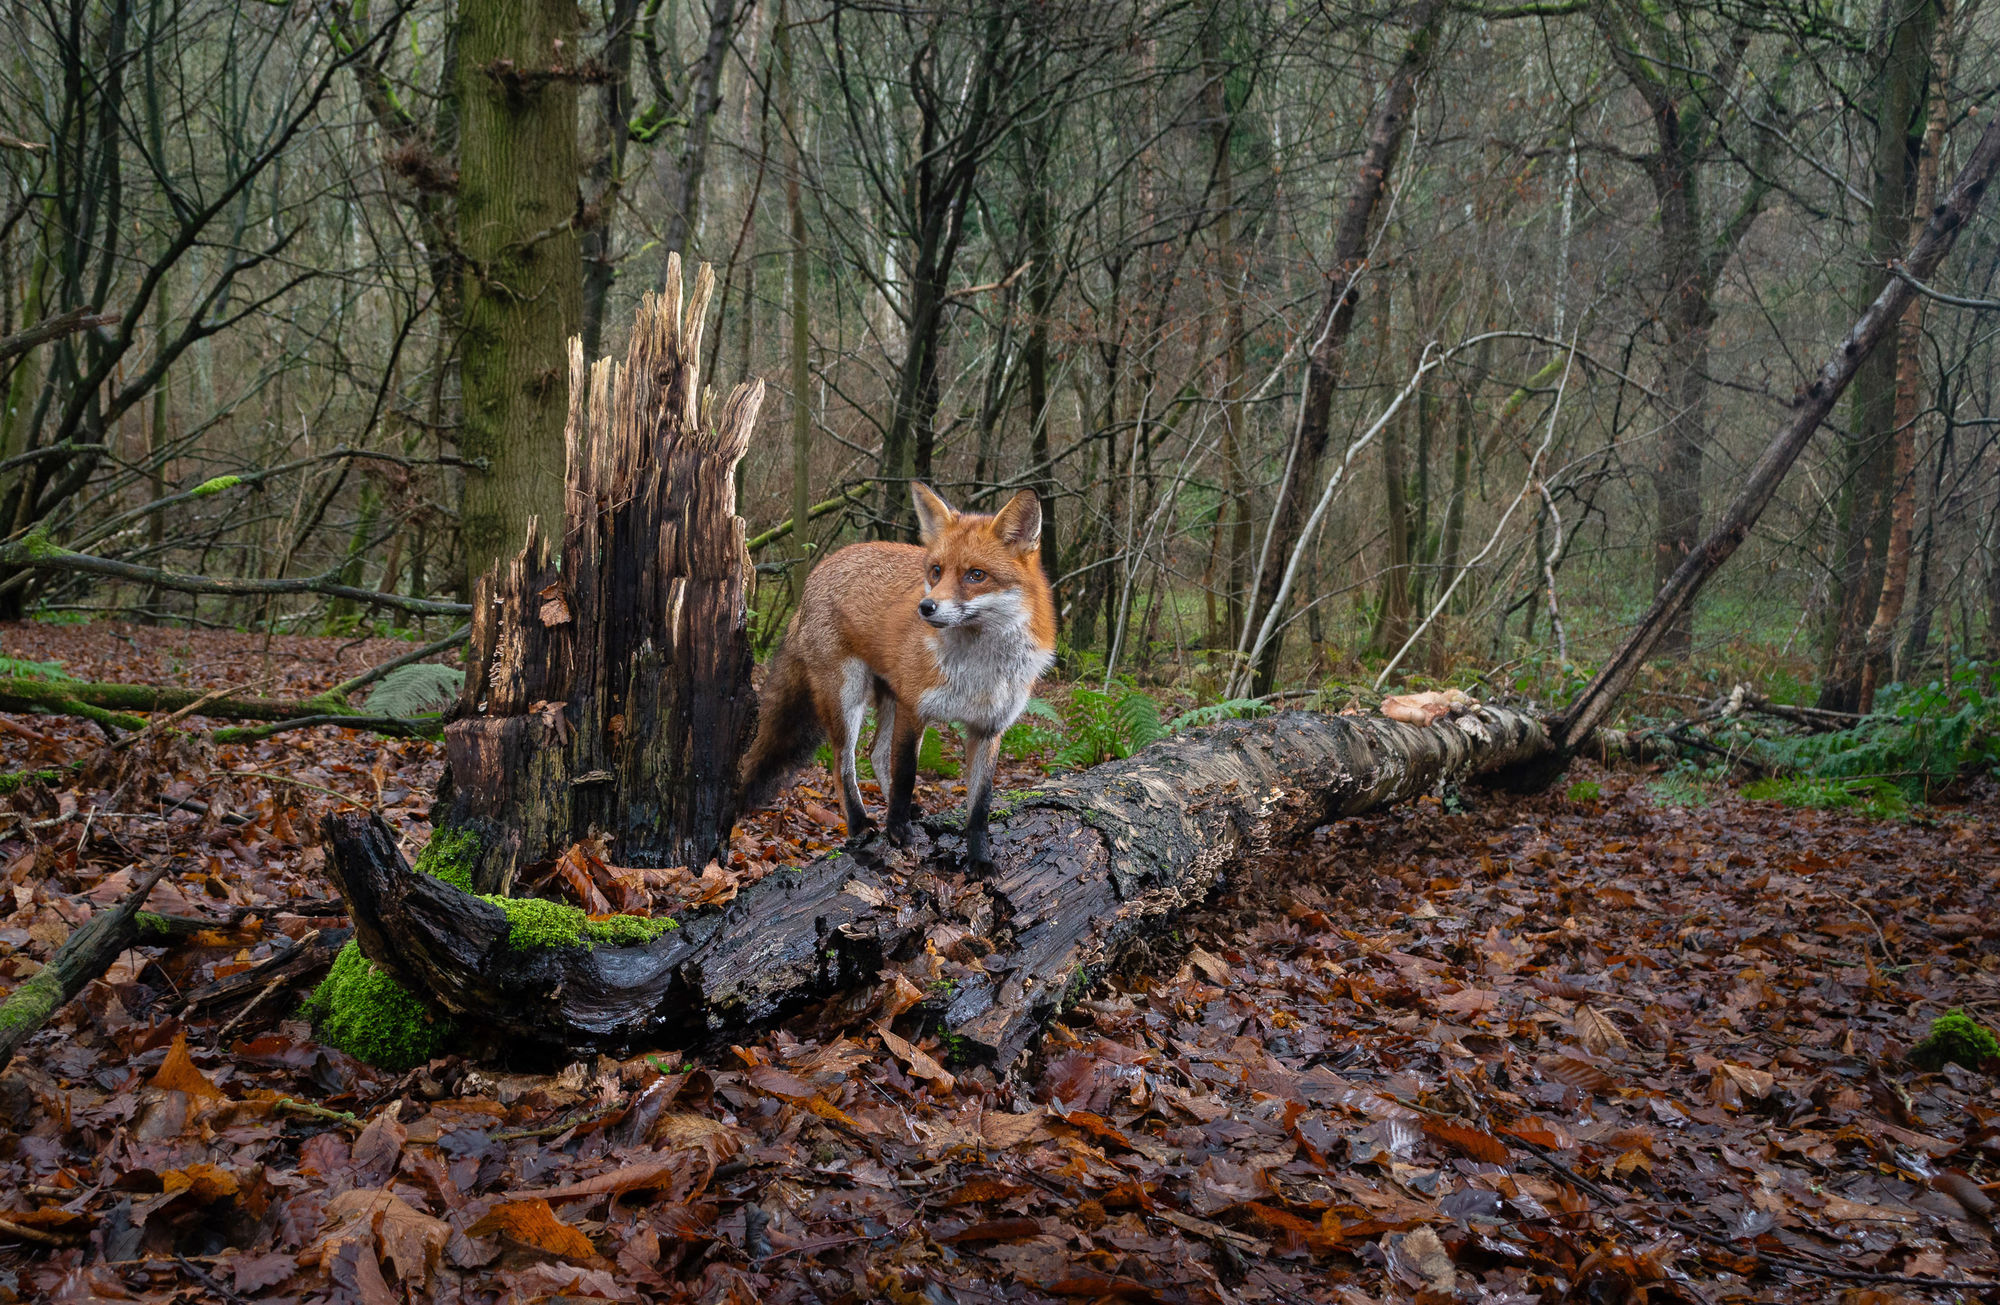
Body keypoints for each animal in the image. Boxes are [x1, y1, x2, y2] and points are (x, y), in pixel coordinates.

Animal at [738, 484, 1056, 869]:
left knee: (875, 753)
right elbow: (905, 774)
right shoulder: (914, 708)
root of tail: (819, 570)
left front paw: (980, 860)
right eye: (936, 571)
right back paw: (860, 823)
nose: (926, 607)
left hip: (886, 694)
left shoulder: (989, 728)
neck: (978, 670)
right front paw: (898, 830)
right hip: (848, 696)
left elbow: (980, 805)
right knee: (842, 763)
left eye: (976, 575)